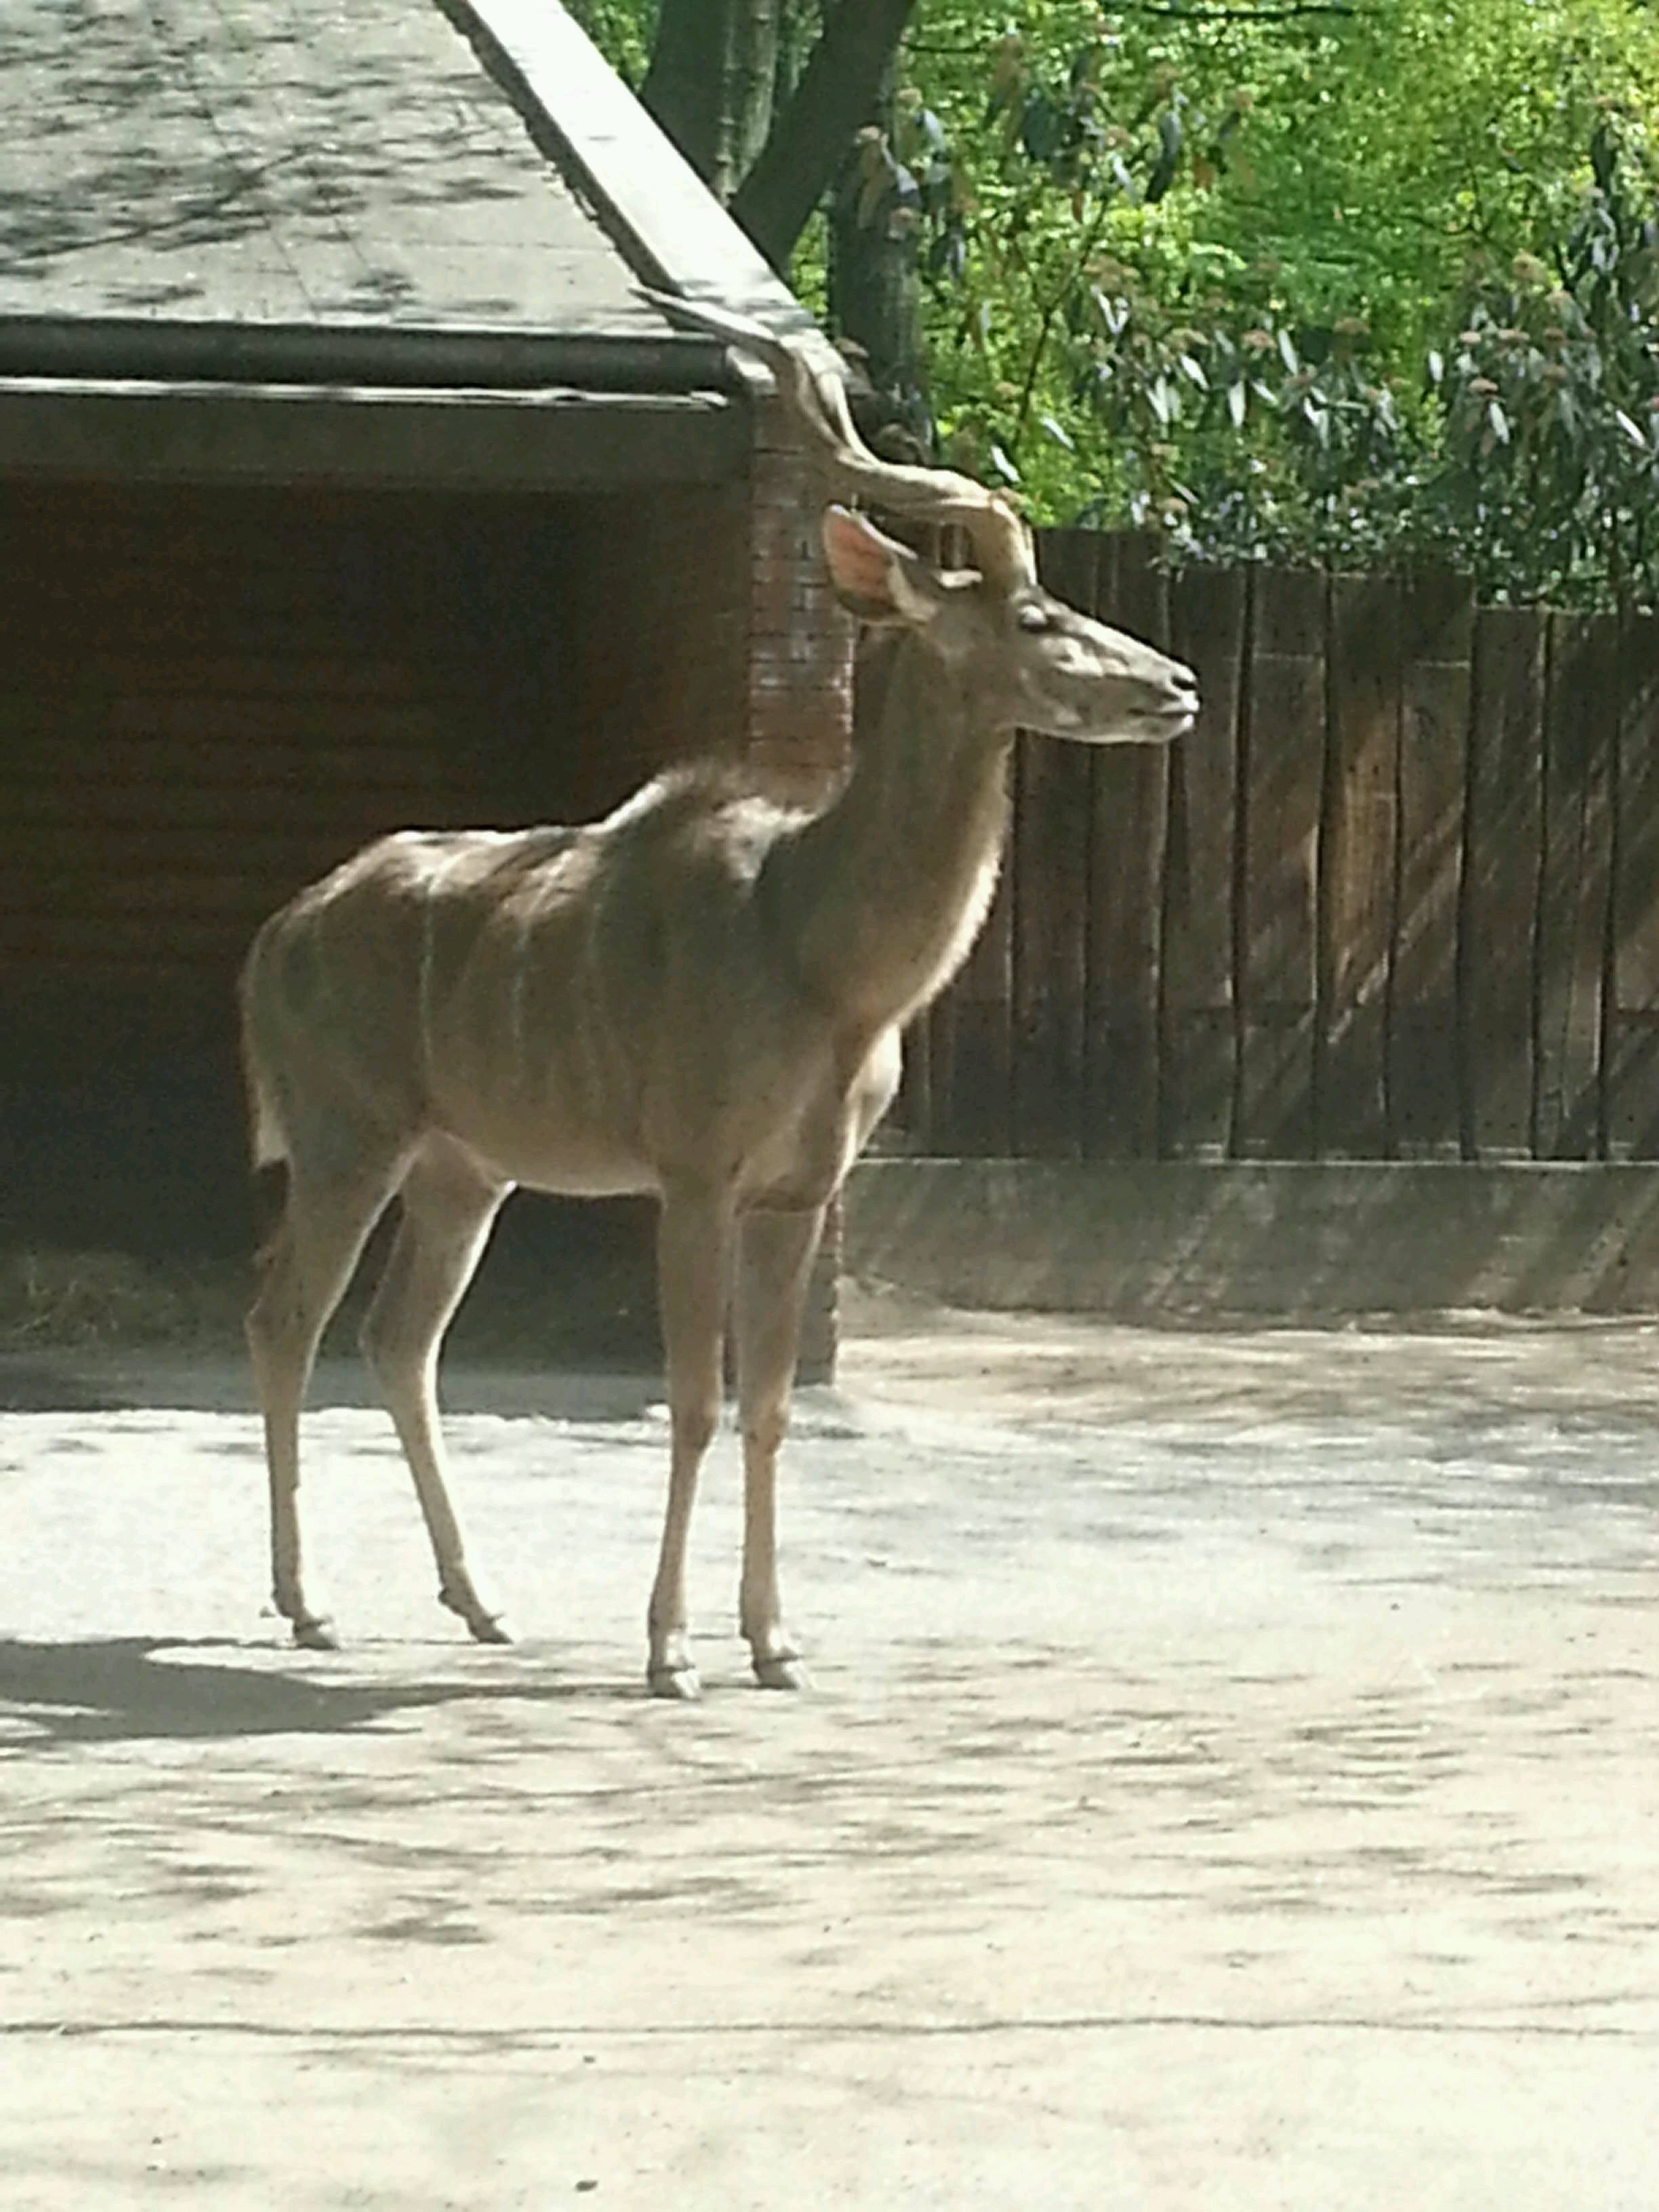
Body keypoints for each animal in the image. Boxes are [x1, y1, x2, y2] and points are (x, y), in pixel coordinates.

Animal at [237, 294, 1194, 1698]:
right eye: (1030, 614)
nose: (1175, 685)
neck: (819, 952)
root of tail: (276, 936)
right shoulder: (693, 1173)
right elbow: (692, 1397)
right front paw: (673, 1647)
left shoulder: (797, 1191)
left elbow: (772, 1403)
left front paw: (774, 1640)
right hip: (347, 1140)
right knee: (286, 1317)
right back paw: (308, 1606)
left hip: (464, 1167)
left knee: (397, 1340)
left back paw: (481, 1600)